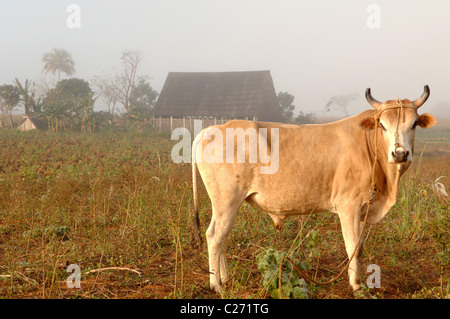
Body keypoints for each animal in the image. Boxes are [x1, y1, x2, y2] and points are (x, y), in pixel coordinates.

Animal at [191, 85, 436, 296]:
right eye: (383, 125)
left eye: (414, 124)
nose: (400, 153)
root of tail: (213, 129)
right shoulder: (348, 207)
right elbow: (352, 247)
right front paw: (356, 285)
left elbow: (360, 246)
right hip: (225, 202)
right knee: (214, 237)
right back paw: (216, 284)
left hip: (228, 205)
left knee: (223, 238)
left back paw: (225, 278)